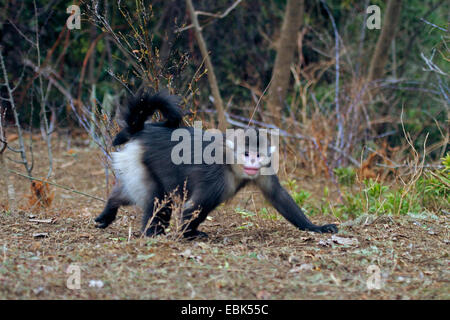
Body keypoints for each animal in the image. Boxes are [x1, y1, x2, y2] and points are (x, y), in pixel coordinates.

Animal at [96, 90, 338, 238]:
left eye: (257, 155)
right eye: (246, 154)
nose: (252, 162)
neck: (231, 163)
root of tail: (140, 130)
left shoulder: (263, 170)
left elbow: (277, 195)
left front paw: (316, 227)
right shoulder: (216, 179)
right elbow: (195, 207)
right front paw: (187, 235)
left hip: (132, 164)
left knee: (128, 192)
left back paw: (108, 210)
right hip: (140, 161)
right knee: (159, 198)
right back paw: (151, 233)